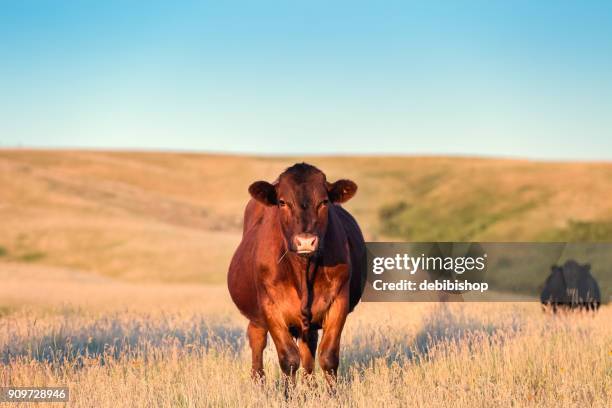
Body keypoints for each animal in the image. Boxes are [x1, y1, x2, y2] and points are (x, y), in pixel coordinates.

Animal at [227, 163, 366, 386]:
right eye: (282, 202)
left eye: (324, 202)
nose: (306, 241)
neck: (303, 269)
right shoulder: (271, 306)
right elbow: (289, 359)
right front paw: (287, 393)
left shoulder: (338, 301)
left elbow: (328, 357)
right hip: (257, 317)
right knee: (257, 340)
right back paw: (259, 383)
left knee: (308, 349)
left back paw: (310, 387)